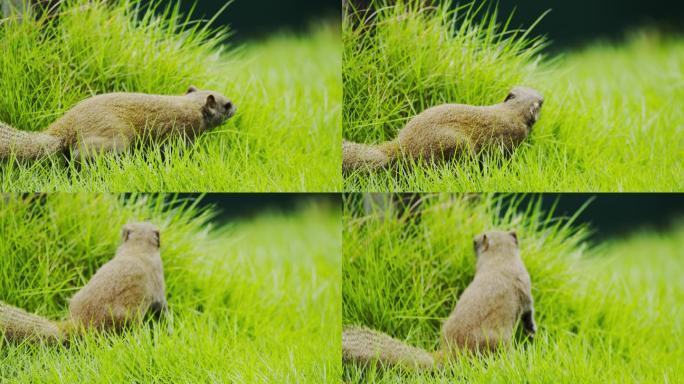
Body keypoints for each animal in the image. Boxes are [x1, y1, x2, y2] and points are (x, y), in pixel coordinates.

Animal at [342, 230, 536, 370]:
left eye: (477, 241)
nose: (473, 239)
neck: (501, 262)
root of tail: (450, 350)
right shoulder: (526, 292)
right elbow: (528, 312)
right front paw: (532, 331)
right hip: (501, 340)